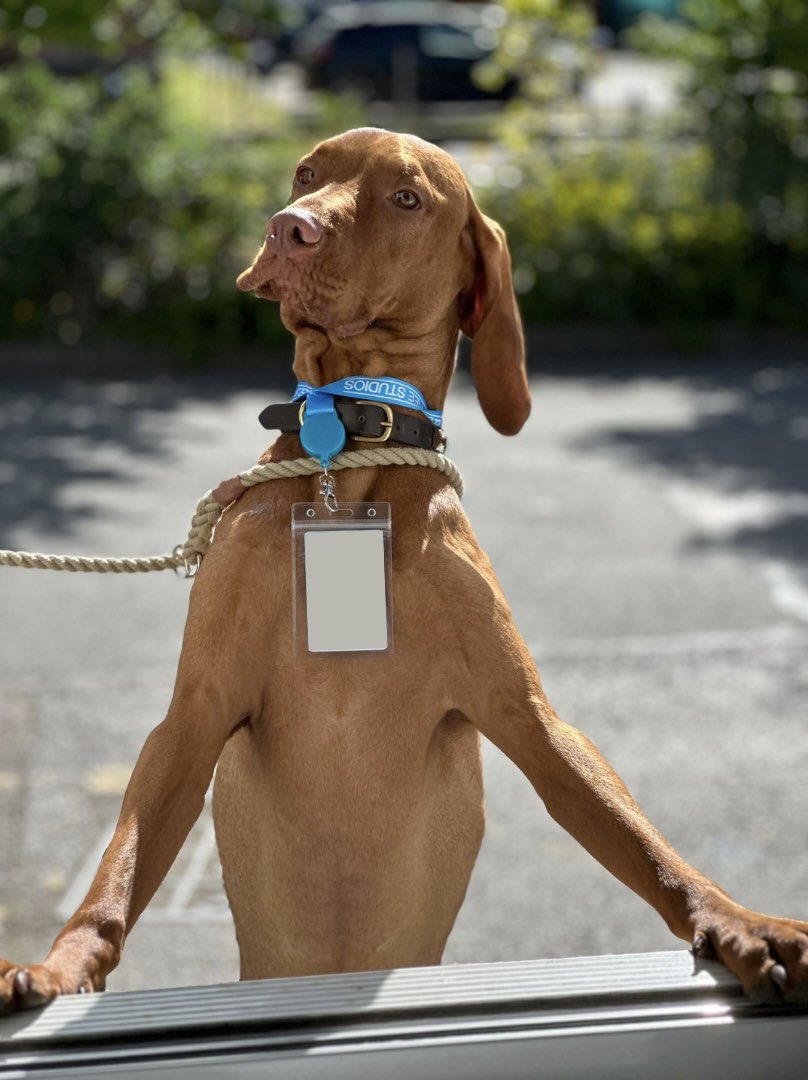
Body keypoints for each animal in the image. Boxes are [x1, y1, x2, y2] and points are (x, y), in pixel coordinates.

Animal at [1, 128, 808, 1010]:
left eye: (407, 198)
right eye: (306, 174)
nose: (288, 228)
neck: (346, 452)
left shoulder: (530, 717)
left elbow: (644, 844)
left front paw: (738, 922)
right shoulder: (195, 712)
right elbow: (118, 871)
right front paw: (60, 968)